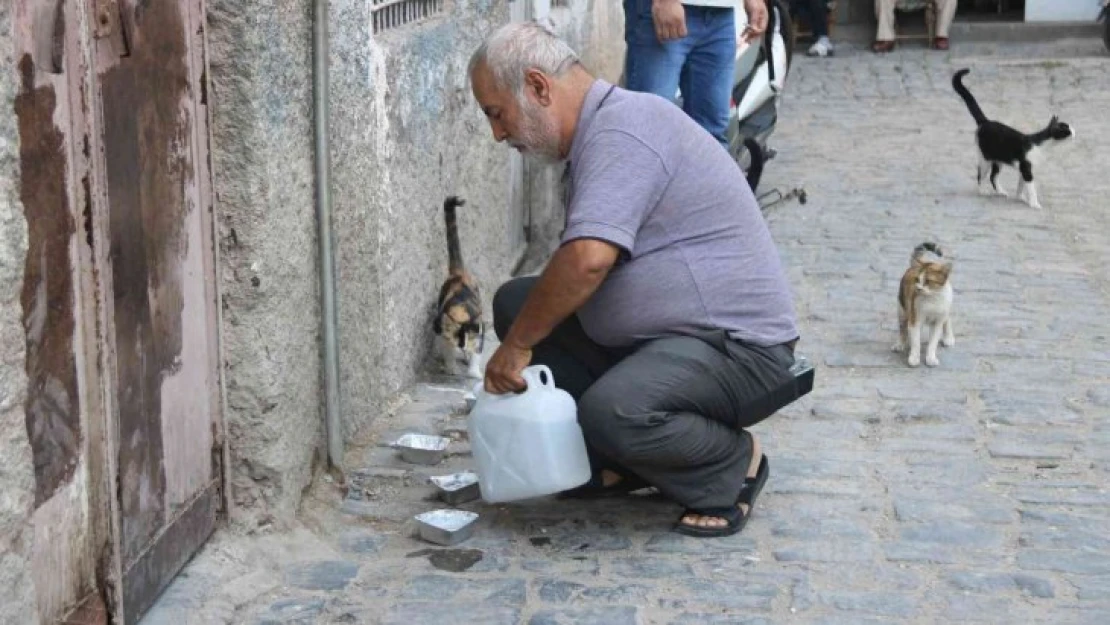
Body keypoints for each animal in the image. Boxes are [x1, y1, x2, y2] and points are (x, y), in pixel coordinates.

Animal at [432, 197, 486, 379]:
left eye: (467, 339)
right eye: (458, 340)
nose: (463, 348)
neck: (462, 309)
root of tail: (459, 273)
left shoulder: (479, 330)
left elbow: (477, 350)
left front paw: (474, 372)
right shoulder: (441, 328)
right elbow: (447, 347)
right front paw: (451, 367)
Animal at [954, 67, 1074, 209]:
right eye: (1067, 130)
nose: (1075, 132)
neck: (1041, 145)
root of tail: (985, 122)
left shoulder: (1023, 170)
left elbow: (1020, 186)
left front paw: (1020, 198)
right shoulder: (1027, 169)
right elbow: (1031, 189)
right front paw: (1034, 204)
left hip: (998, 160)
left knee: (993, 177)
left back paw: (1001, 192)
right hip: (985, 159)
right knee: (980, 175)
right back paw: (982, 191)